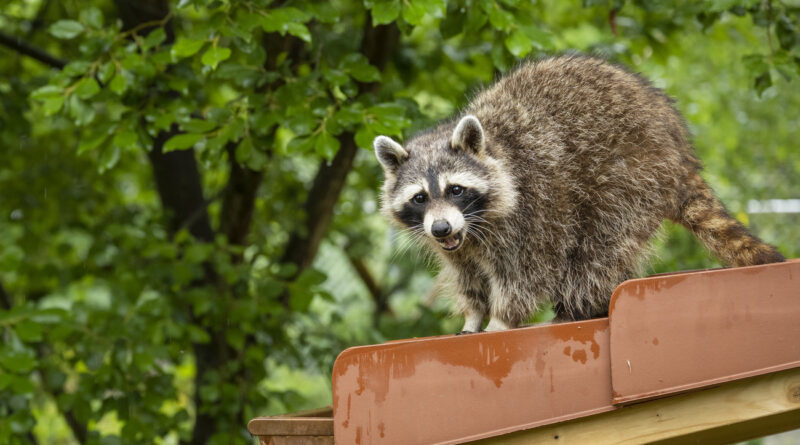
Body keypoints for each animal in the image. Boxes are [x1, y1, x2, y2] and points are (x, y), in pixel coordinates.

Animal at [376, 54, 788, 332]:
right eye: (420, 198)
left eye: (456, 189)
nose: (441, 229)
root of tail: (679, 149)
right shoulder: (458, 245)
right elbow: (468, 275)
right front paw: (474, 315)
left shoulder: (535, 205)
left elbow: (530, 271)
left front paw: (502, 320)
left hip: (633, 176)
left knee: (599, 247)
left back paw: (576, 308)